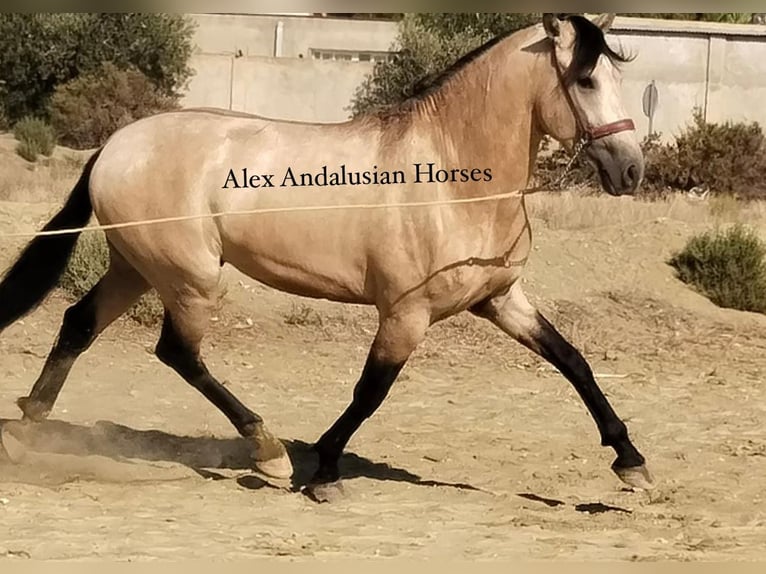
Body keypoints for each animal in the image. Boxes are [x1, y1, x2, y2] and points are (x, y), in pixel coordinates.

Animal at [0, 12, 656, 500]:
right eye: (587, 80)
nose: (631, 170)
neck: (452, 180)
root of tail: (115, 145)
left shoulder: (499, 299)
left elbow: (573, 362)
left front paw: (631, 462)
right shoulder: (405, 314)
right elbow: (370, 392)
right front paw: (323, 471)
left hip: (135, 269)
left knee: (78, 324)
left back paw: (29, 425)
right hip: (189, 278)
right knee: (177, 353)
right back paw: (267, 451)